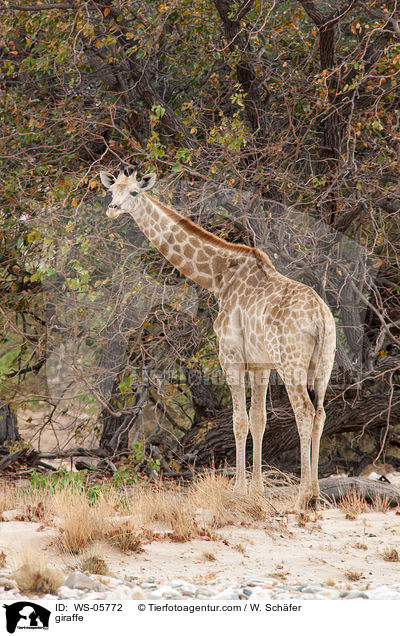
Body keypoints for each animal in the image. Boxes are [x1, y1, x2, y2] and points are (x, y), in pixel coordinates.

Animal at [99, 169, 334, 512]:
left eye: (134, 193)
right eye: (111, 190)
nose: (112, 209)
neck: (219, 278)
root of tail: (320, 317)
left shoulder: (231, 356)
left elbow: (238, 420)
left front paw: (237, 491)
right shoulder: (260, 364)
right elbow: (259, 419)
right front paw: (257, 491)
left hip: (291, 363)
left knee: (304, 412)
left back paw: (303, 497)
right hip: (323, 364)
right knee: (320, 414)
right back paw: (315, 495)